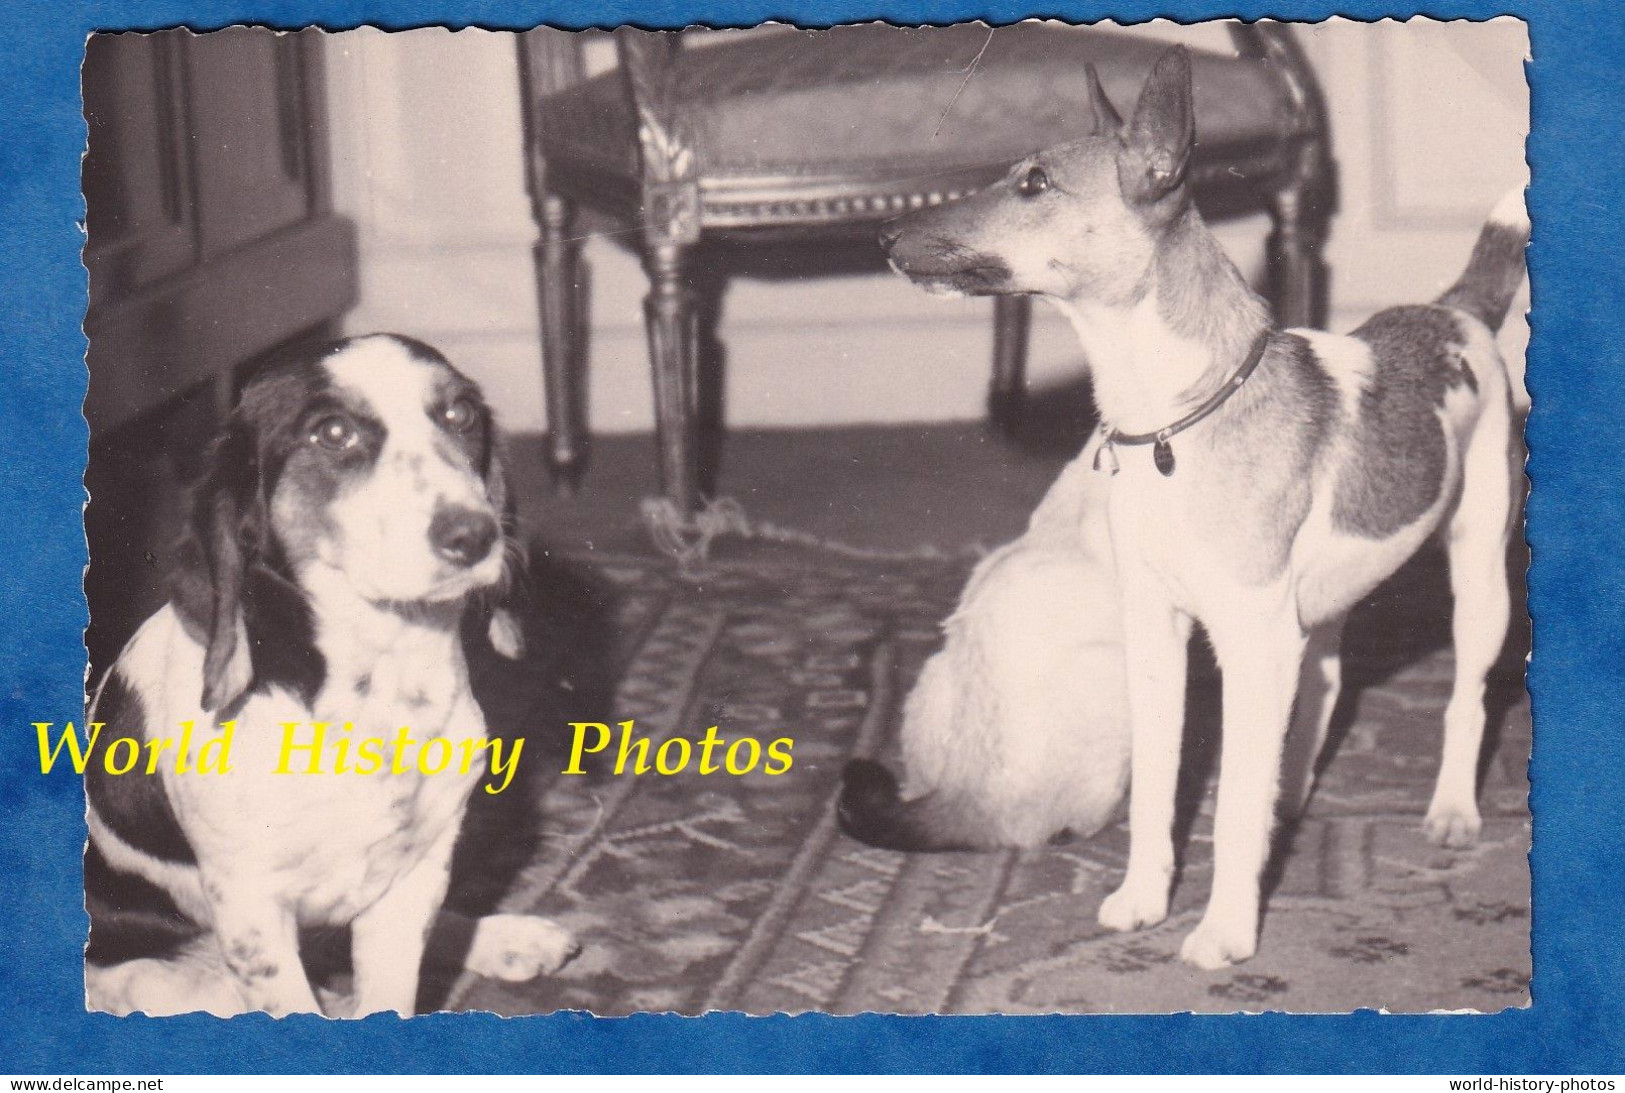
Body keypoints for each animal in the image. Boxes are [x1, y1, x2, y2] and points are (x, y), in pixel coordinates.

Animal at [877, 46, 1521, 967]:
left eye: (1034, 183)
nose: (884, 239)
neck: (1172, 422)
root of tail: (1456, 313)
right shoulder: (1158, 633)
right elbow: (1161, 785)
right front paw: (1143, 900)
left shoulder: (1250, 642)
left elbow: (1230, 802)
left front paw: (1223, 929)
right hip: (1320, 611)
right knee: (1324, 687)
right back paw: (1289, 802)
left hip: (1479, 578)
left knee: (1465, 698)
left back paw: (1450, 812)